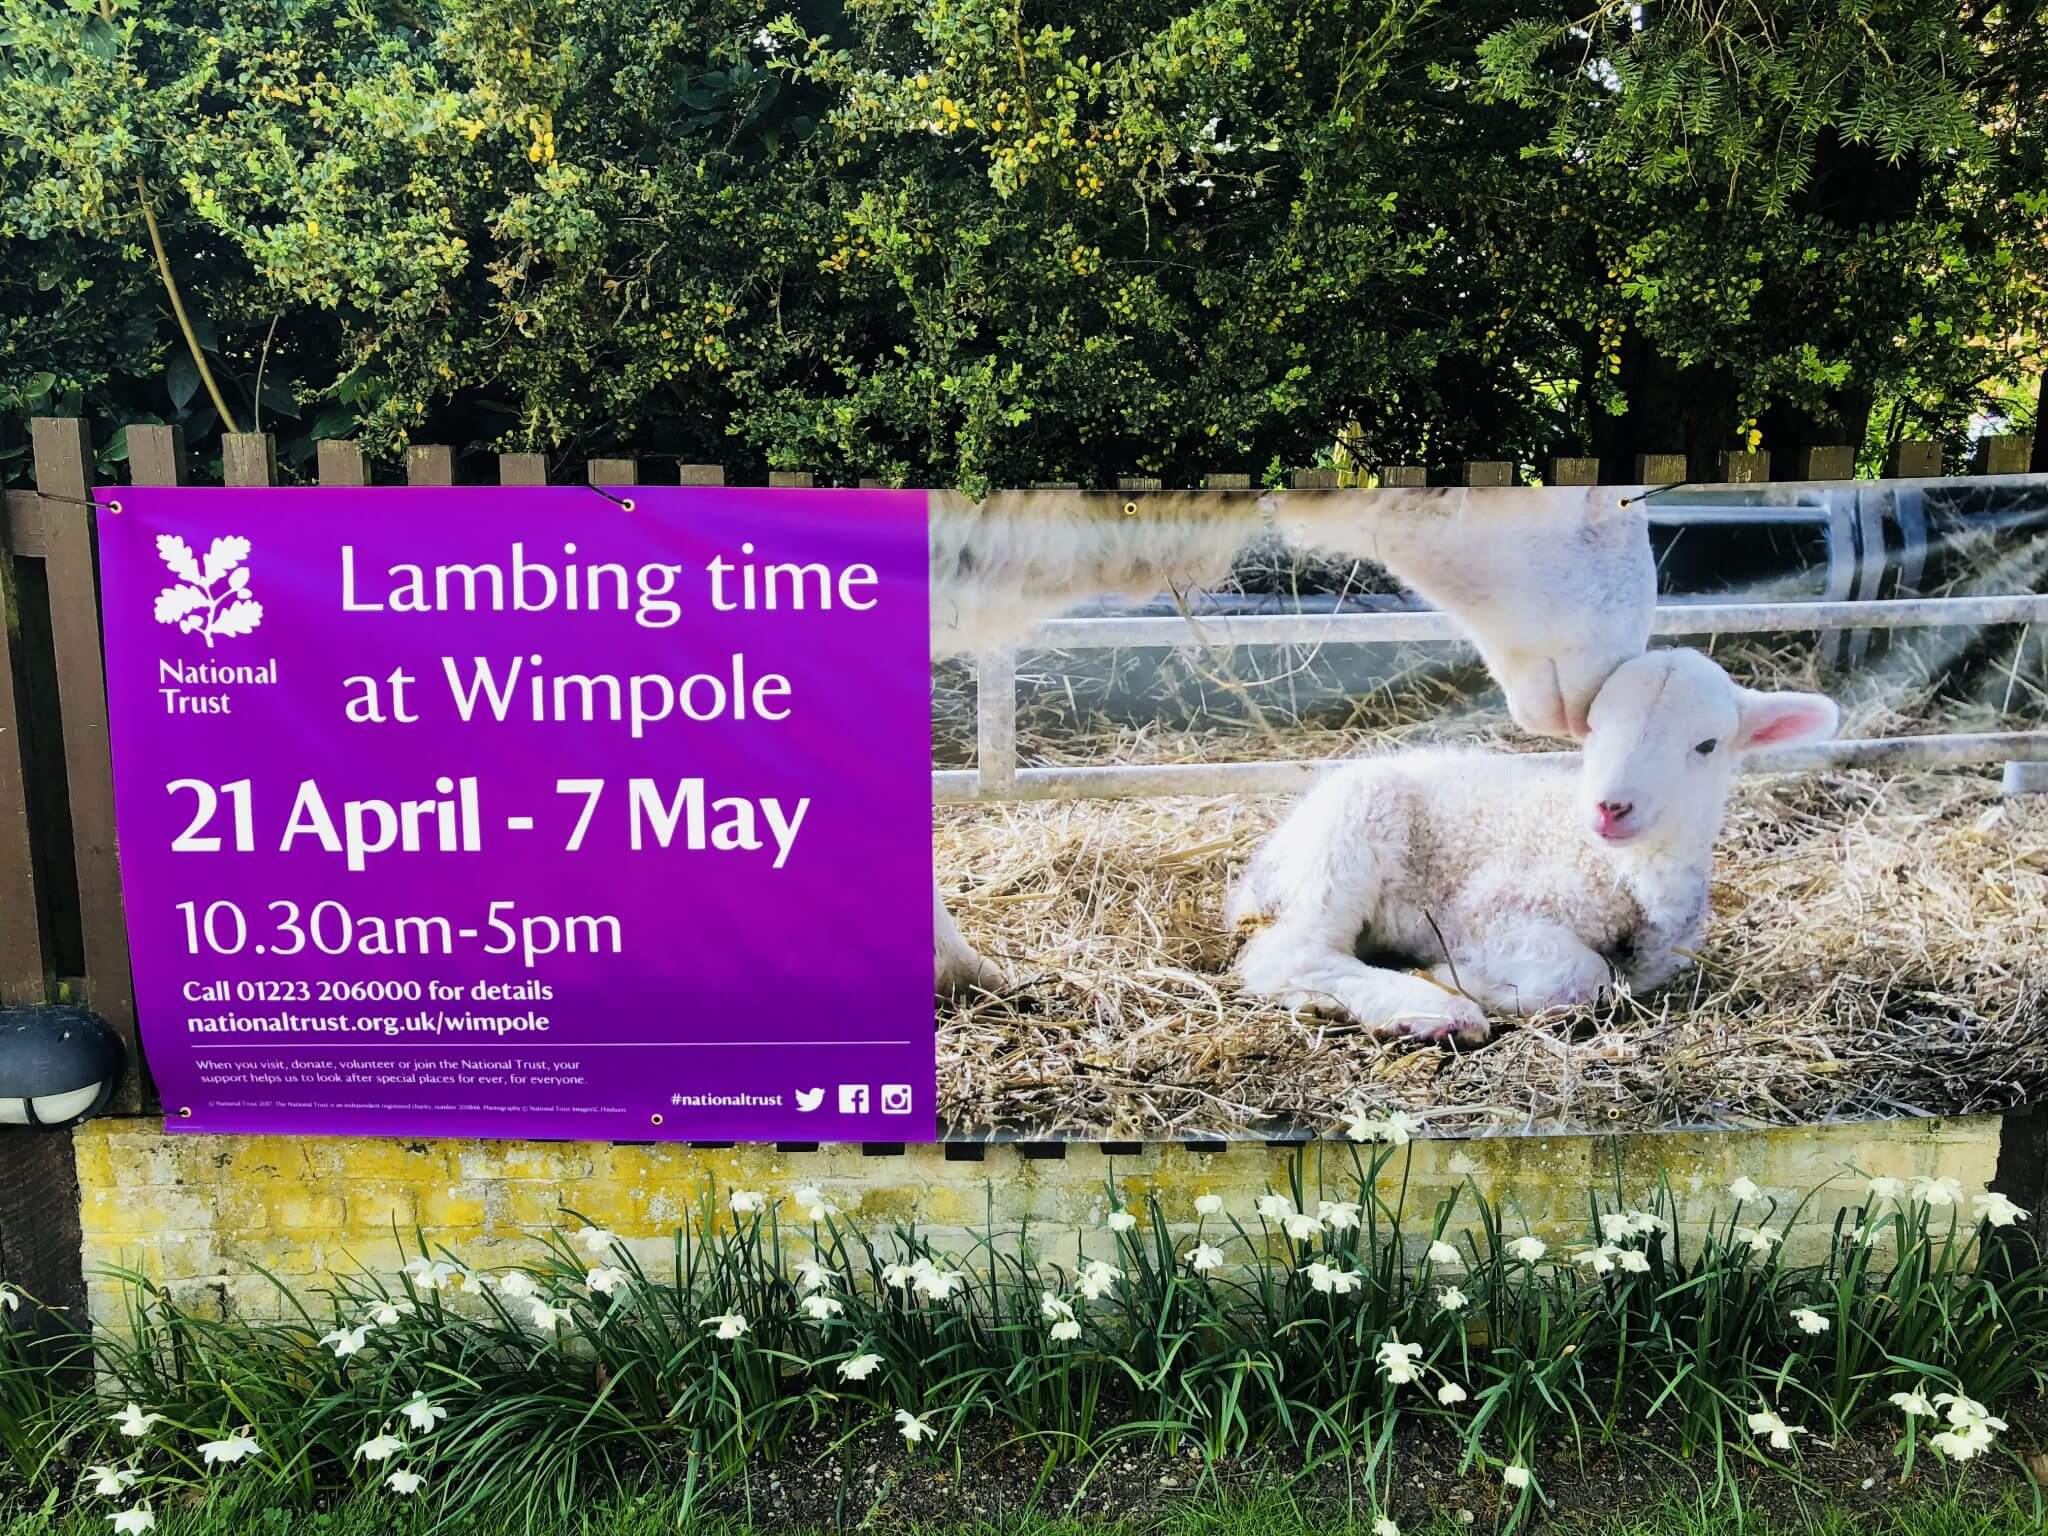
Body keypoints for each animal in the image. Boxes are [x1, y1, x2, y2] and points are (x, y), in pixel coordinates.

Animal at [1220, 651, 1851, 1048]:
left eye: (1706, 744)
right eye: (1594, 729)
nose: (1609, 807)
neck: (1620, 876)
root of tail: (1262, 868)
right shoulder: (1490, 910)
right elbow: (1587, 976)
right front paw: (1459, 978)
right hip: (1350, 828)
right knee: (1290, 953)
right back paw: (1435, 1012)